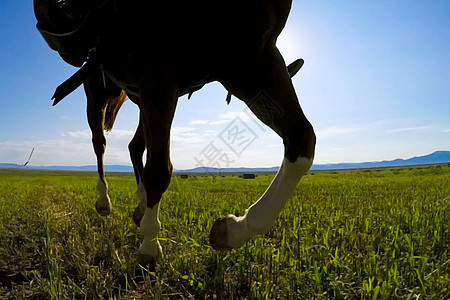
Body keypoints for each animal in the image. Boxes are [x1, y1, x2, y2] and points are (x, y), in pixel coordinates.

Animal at [33, 0, 316, 264]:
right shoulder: (160, 69)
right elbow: (159, 170)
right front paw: (150, 244)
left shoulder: (253, 58)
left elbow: (302, 139)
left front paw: (233, 229)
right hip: (99, 91)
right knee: (99, 142)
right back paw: (105, 200)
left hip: (142, 96)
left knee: (135, 146)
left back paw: (141, 204)